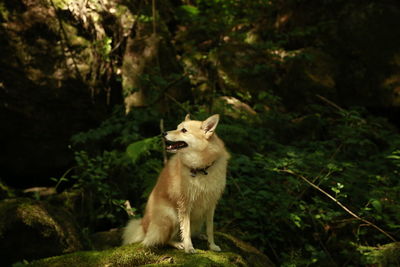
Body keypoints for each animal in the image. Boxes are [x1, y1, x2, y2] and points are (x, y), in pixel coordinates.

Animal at [122, 114, 230, 254]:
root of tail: (143, 227)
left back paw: (199, 235)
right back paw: (178, 244)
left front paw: (212, 245)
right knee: (163, 240)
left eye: (184, 130)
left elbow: (210, 229)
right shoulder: (184, 204)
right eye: (177, 127)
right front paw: (189, 247)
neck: (201, 168)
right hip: (170, 216)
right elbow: (186, 229)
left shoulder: (211, 204)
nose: (163, 133)